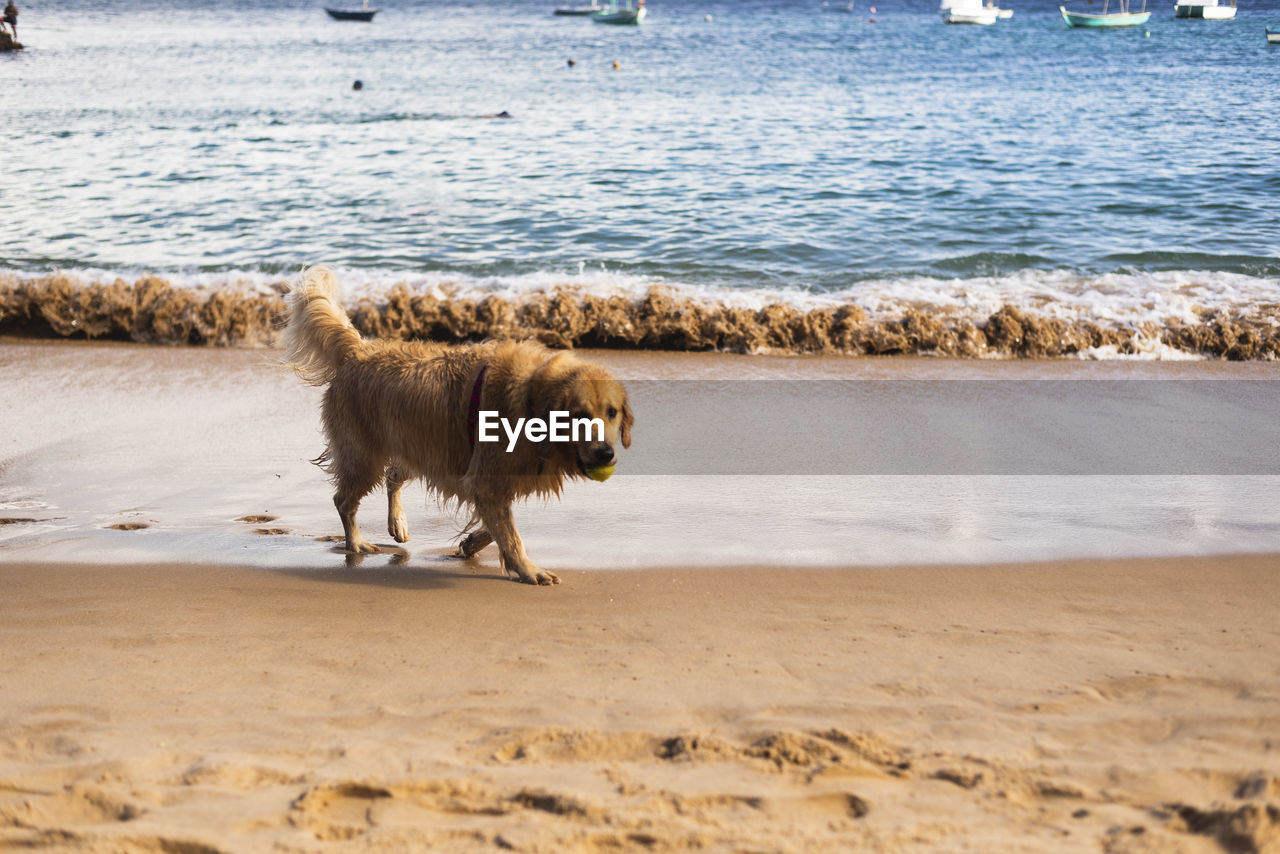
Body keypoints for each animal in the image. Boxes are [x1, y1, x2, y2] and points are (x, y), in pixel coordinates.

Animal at [285, 268, 634, 588]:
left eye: (611, 412)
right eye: (580, 415)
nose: (606, 454)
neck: (531, 402)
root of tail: (358, 351)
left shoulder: (488, 478)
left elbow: (496, 526)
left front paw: (472, 543)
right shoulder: (486, 478)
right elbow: (509, 534)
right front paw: (528, 570)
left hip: (420, 445)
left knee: (393, 475)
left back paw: (397, 523)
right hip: (365, 455)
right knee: (344, 500)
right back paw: (356, 542)